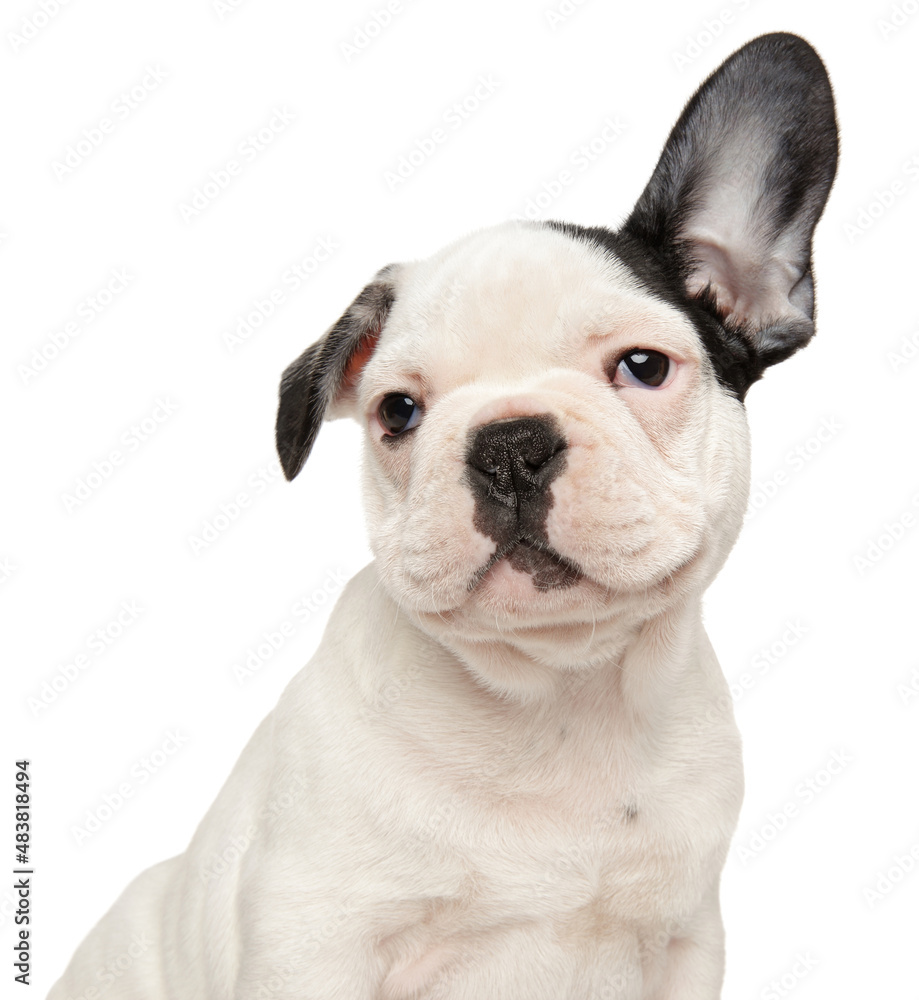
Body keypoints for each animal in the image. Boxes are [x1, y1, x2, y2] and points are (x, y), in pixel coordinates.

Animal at [52, 31, 840, 1000]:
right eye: (398, 413)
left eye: (644, 367)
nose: (509, 444)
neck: (558, 692)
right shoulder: (312, 938)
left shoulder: (684, 942)